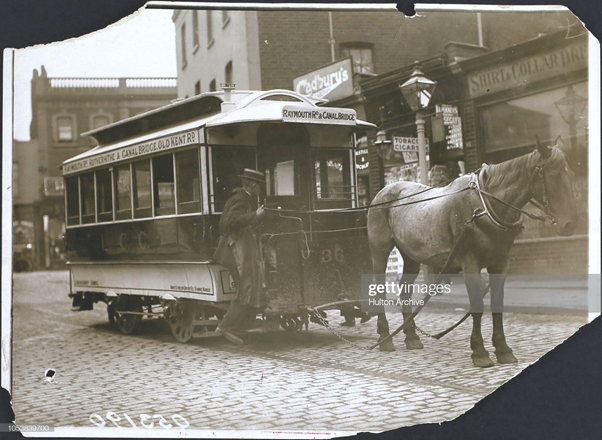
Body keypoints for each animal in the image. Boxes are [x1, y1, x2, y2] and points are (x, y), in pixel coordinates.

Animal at [366, 138, 576, 368]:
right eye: (554, 175)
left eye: (571, 173)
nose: (569, 225)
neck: (483, 207)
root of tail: (383, 192)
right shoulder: (470, 263)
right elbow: (477, 305)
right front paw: (479, 352)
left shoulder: (500, 263)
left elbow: (497, 303)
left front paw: (503, 349)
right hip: (380, 250)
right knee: (379, 289)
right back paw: (384, 337)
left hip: (410, 255)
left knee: (405, 290)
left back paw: (412, 337)